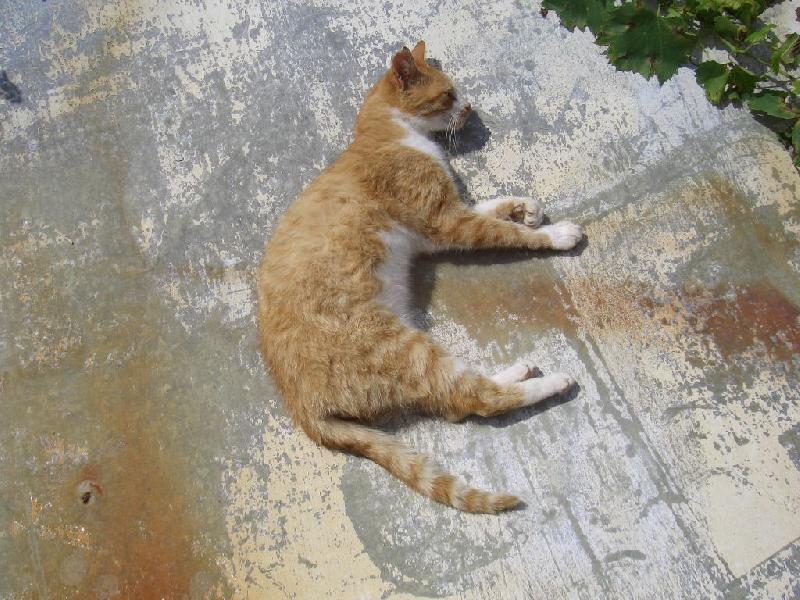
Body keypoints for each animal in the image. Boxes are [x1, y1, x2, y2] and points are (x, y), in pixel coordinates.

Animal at [258, 42, 582, 514]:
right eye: (448, 94)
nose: (469, 107)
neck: (392, 133)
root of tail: (301, 410)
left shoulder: (447, 218)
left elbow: (494, 206)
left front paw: (526, 207)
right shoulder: (447, 223)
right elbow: (509, 233)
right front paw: (555, 233)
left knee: (464, 391)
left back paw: (520, 370)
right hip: (406, 349)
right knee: (474, 399)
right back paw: (551, 382)